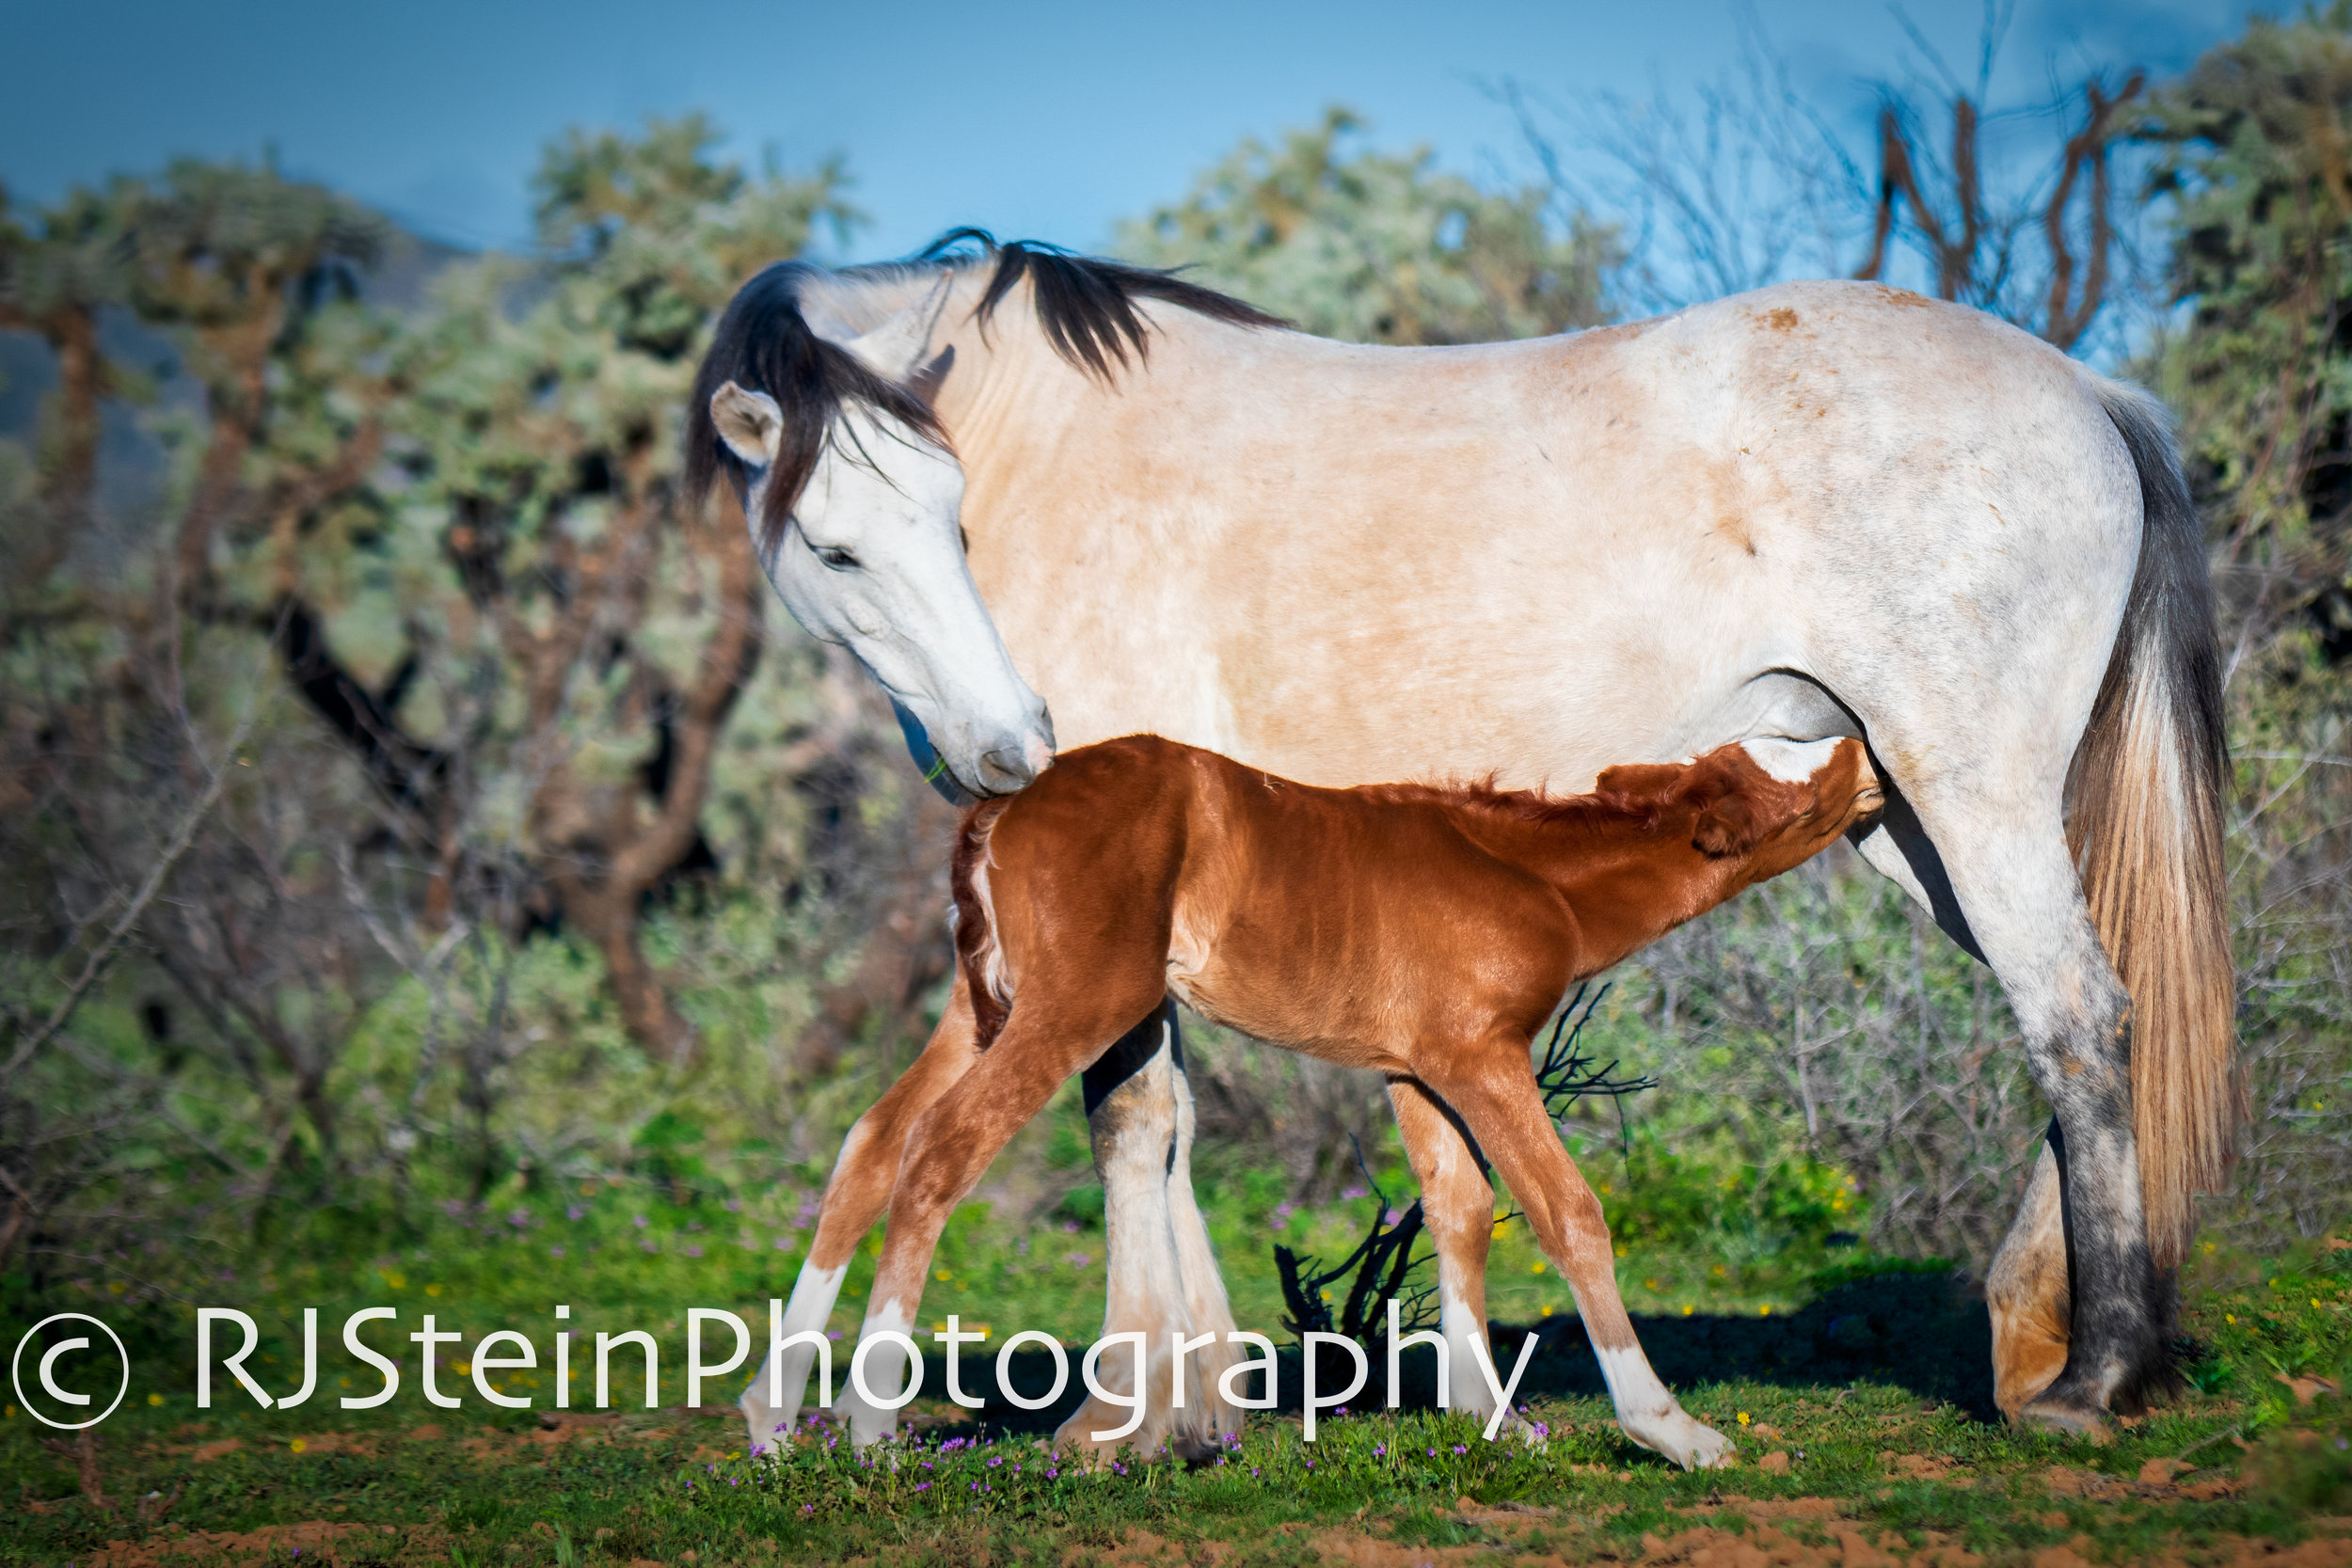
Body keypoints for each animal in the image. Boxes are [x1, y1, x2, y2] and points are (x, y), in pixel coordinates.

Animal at [781, 737, 1882, 1476]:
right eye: (1801, 783)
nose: (1870, 753)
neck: (1532, 875)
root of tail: (1000, 813)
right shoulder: (1485, 1055)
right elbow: (1568, 1213)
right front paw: (1672, 1428)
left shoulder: (1419, 1068)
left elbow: (1460, 1211)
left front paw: (1488, 1418)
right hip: (1073, 1006)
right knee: (940, 1147)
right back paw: (870, 1431)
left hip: (985, 1003)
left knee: (871, 1140)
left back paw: (773, 1419)